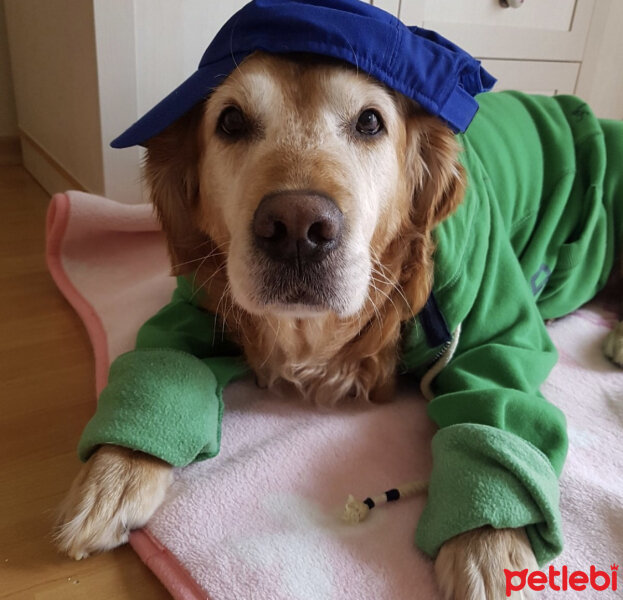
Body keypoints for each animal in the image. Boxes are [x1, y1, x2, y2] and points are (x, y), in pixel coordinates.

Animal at [56, 52, 620, 600]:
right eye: (231, 121)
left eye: (370, 121)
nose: (297, 229)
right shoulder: (198, 304)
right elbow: (165, 362)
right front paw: (113, 476)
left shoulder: (494, 319)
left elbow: (494, 408)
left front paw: (489, 546)